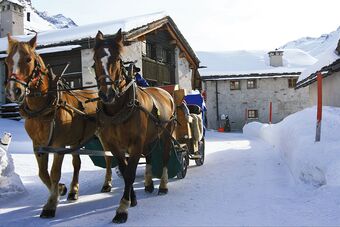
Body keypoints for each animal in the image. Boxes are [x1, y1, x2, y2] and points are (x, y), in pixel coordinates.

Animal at [4, 34, 99, 218]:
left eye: (28, 59)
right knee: (77, 163)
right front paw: (60, 189)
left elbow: (55, 173)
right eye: (7, 60)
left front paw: (51, 204)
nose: (13, 91)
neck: (43, 109)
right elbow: (42, 174)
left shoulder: (58, 145)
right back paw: (74, 190)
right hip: (76, 141)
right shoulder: (38, 146)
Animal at [93, 29, 175, 223]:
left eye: (117, 59)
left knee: (165, 157)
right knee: (150, 157)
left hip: (167, 133)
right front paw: (132, 198)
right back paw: (148, 184)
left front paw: (122, 208)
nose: (107, 94)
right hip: (150, 137)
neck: (118, 109)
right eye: (95, 60)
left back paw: (163, 185)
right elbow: (125, 170)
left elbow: (130, 172)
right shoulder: (115, 145)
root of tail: (165, 92)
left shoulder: (136, 143)